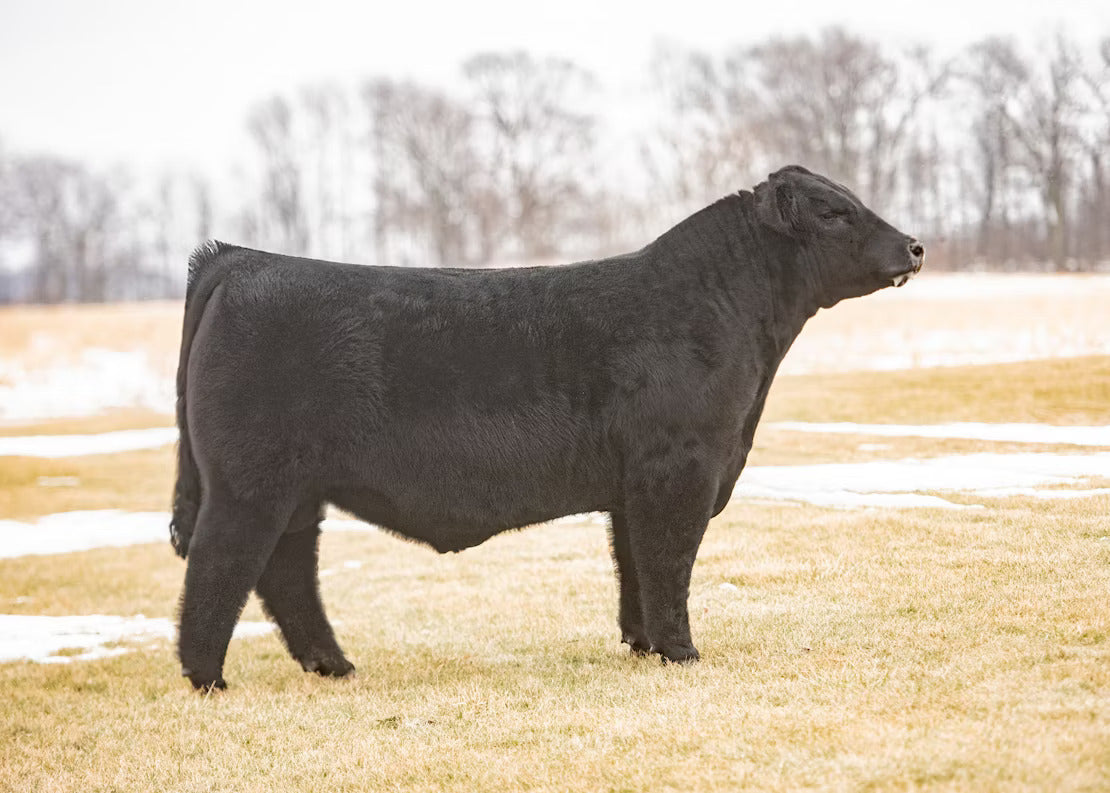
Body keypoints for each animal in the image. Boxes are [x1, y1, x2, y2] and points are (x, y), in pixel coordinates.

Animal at [170, 165, 924, 690]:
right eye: (834, 212)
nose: (916, 247)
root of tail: (243, 258)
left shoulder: (634, 486)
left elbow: (635, 566)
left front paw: (644, 646)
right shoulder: (679, 470)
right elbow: (669, 561)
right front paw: (682, 652)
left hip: (295, 492)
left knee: (287, 572)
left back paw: (334, 666)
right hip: (249, 484)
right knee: (221, 566)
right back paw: (208, 679)